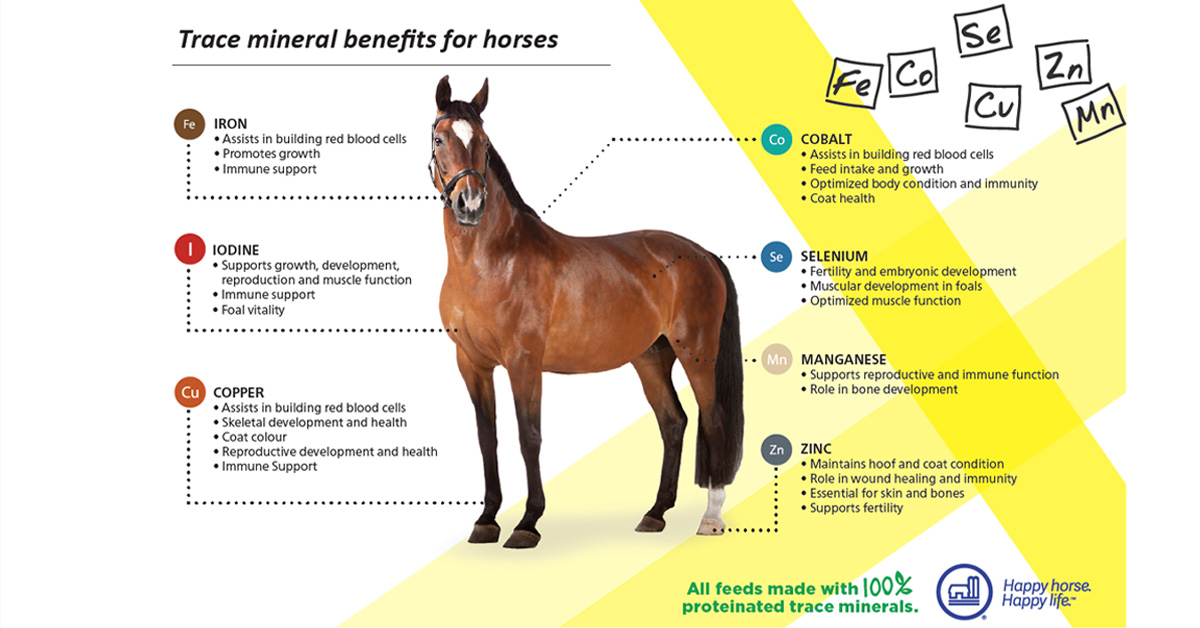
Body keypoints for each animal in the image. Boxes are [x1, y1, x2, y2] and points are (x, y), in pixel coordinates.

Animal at [430, 76, 744, 549]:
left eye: (483, 143)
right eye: (440, 138)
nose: (470, 204)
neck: (491, 261)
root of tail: (702, 253)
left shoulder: (524, 362)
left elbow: (529, 437)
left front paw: (527, 523)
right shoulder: (472, 363)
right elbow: (489, 438)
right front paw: (486, 520)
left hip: (697, 355)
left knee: (713, 421)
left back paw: (710, 518)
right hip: (650, 358)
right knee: (674, 423)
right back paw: (655, 513)